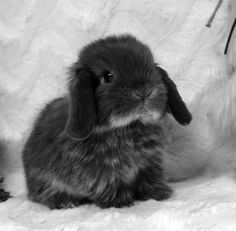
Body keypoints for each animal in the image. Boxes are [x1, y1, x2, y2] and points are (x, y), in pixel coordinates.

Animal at [22, 34, 192, 209]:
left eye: (151, 68)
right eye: (108, 76)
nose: (144, 91)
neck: (128, 126)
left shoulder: (149, 162)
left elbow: (150, 179)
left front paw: (159, 194)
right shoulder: (100, 171)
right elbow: (108, 185)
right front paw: (120, 203)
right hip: (44, 180)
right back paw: (66, 201)